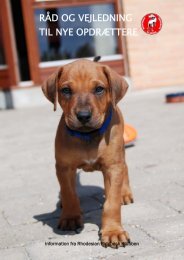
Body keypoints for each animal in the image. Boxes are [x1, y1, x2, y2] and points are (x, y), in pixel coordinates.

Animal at [42, 59, 133, 248]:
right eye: (66, 90)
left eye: (99, 89)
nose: (83, 116)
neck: (88, 135)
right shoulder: (64, 168)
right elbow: (69, 193)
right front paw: (70, 217)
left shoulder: (113, 167)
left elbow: (111, 203)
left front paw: (113, 231)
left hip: (120, 152)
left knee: (125, 168)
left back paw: (125, 193)